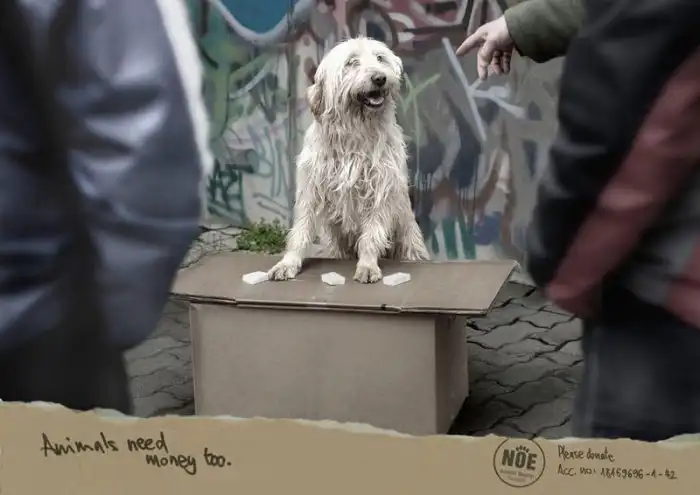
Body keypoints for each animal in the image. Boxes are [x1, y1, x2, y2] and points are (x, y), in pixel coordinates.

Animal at [268, 36, 430, 284]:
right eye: (352, 62)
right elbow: (301, 230)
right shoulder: (311, 189)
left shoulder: (379, 189)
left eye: (380, 58)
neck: (355, 134)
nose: (380, 78)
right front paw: (288, 262)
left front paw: (368, 265)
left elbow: (372, 234)